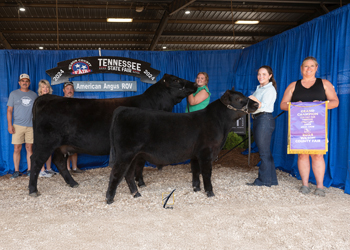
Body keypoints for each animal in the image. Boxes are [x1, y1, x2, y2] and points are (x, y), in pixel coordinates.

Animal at [28, 73, 197, 196]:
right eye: (176, 80)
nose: (195, 83)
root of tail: (46, 97)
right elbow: (140, 165)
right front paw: (141, 182)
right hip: (46, 142)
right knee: (36, 160)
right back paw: (33, 190)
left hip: (60, 145)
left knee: (59, 161)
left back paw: (73, 183)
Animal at [105, 87, 258, 203]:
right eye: (239, 99)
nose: (256, 104)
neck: (220, 124)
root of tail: (123, 109)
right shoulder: (206, 152)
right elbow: (206, 173)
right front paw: (210, 192)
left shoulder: (196, 154)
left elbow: (196, 171)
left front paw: (196, 189)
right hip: (125, 154)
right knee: (115, 174)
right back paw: (109, 199)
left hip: (135, 155)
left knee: (128, 175)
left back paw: (136, 194)